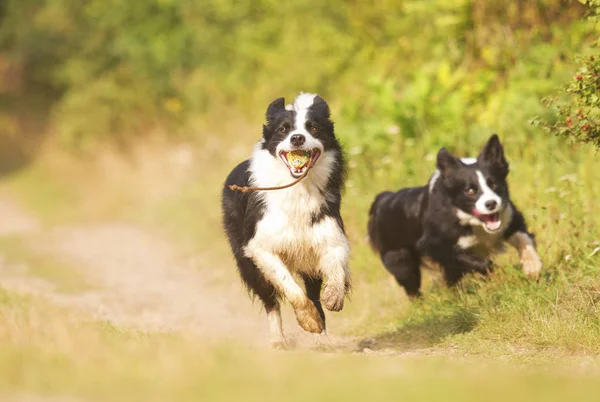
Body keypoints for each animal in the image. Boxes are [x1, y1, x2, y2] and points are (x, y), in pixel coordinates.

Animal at [223, 92, 350, 348]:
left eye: (313, 127)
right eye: (283, 129)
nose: (298, 138)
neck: (298, 190)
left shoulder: (330, 234)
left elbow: (336, 266)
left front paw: (333, 296)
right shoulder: (259, 246)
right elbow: (290, 286)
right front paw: (308, 320)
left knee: (314, 295)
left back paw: (322, 340)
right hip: (246, 261)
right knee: (270, 300)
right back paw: (278, 340)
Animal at [368, 134, 540, 296]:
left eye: (493, 183)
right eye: (470, 190)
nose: (491, 203)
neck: (472, 222)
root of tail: (382, 200)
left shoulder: (510, 217)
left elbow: (524, 238)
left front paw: (532, 267)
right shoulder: (433, 244)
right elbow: (477, 261)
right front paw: (497, 274)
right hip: (400, 259)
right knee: (412, 286)